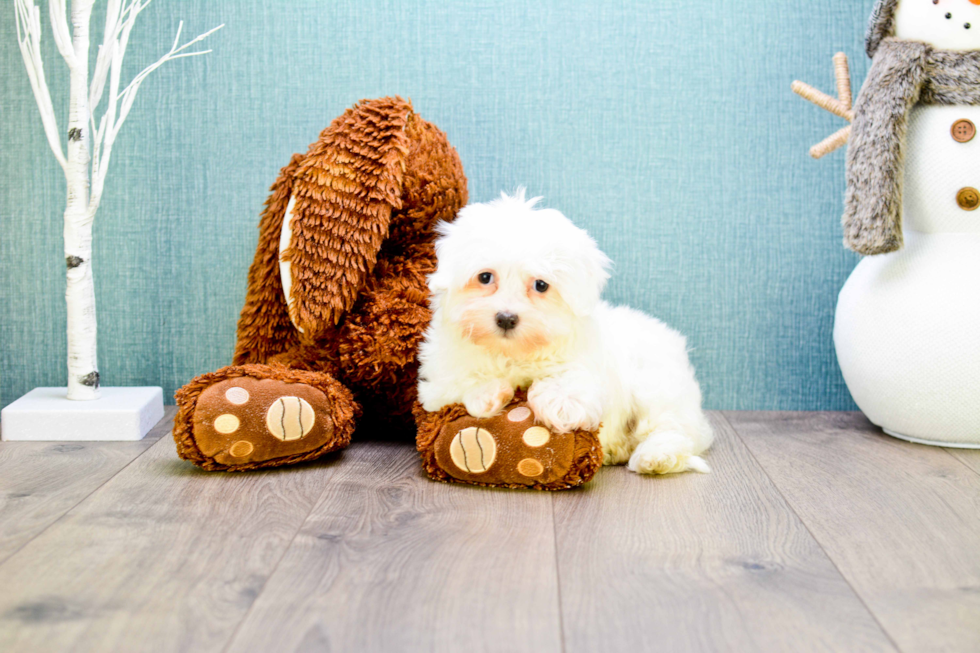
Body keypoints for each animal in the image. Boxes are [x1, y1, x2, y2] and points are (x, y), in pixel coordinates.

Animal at [416, 190, 712, 474]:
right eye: (485, 277)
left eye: (541, 285)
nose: (506, 318)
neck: (513, 354)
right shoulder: (436, 379)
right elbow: (453, 385)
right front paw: (488, 392)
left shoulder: (590, 361)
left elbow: (575, 377)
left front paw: (561, 402)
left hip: (656, 385)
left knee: (674, 427)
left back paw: (656, 456)